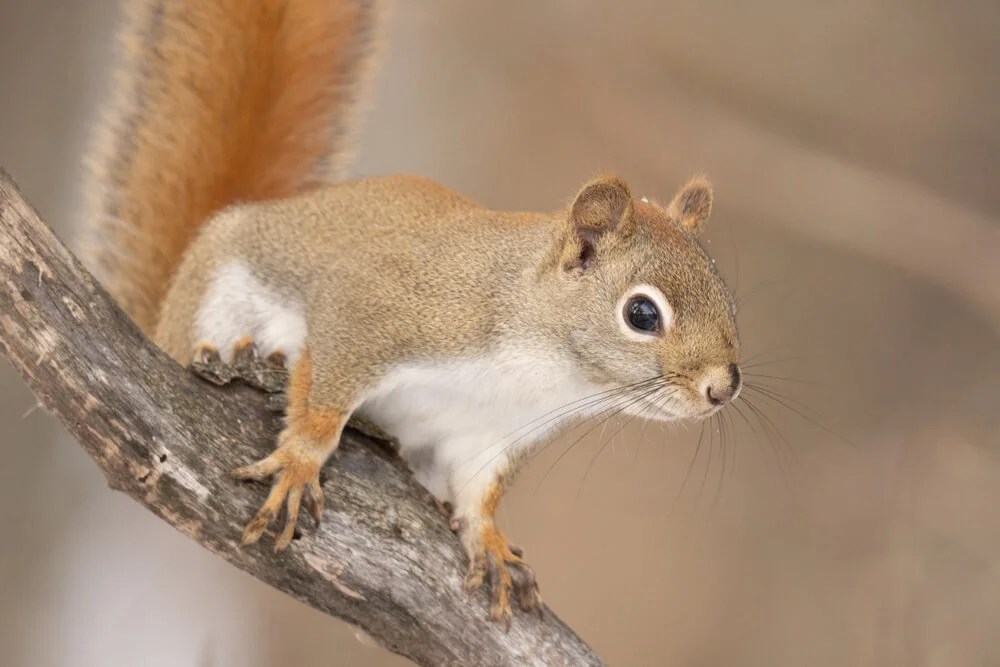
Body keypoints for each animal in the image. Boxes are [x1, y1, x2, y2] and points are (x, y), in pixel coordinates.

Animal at [82, 0, 742, 626]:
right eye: (642, 314)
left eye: (728, 298)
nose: (723, 387)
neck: (543, 368)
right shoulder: (376, 311)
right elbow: (324, 399)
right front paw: (300, 463)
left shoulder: (491, 432)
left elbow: (478, 492)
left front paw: (491, 542)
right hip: (221, 293)